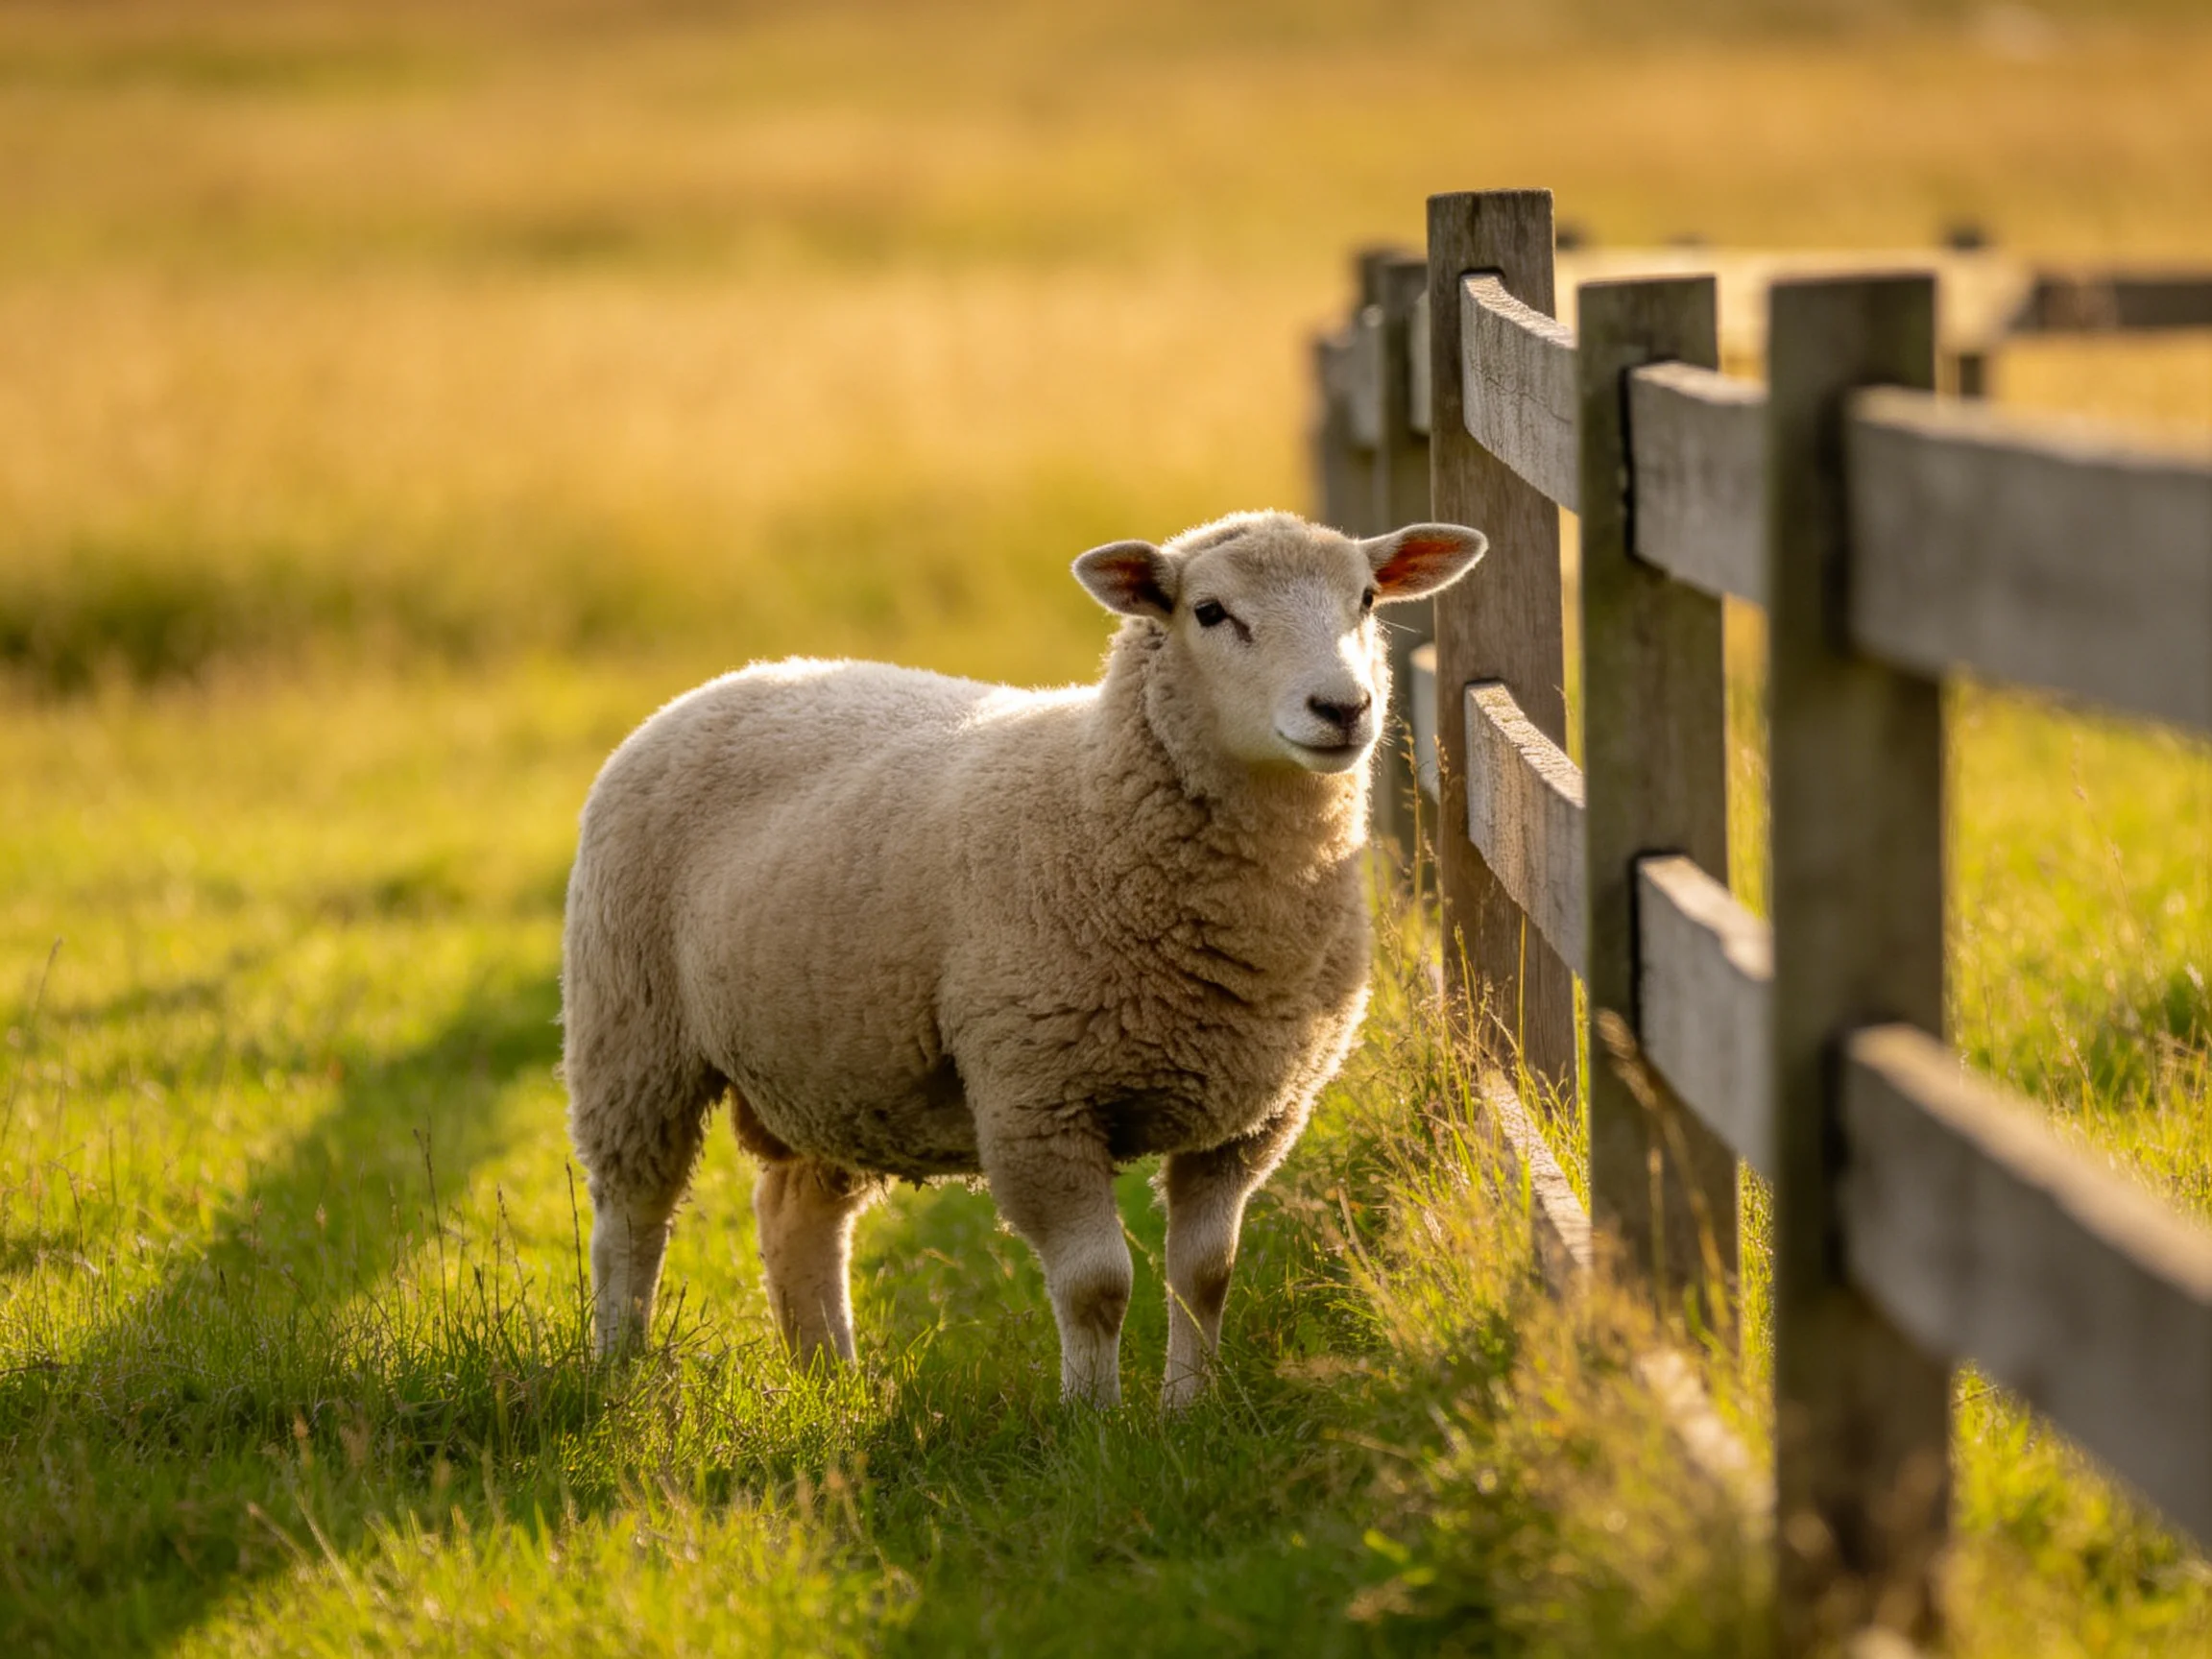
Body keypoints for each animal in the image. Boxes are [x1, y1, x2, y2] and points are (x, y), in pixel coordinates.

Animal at [561, 509, 1486, 1407]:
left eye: (1366, 599)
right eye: (1210, 612)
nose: (1343, 707)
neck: (1095, 800)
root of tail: (741, 676)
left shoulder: (1254, 1117)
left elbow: (1205, 1275)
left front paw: (1191, 1410)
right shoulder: (1036, 1100)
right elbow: (1096, 1285)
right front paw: (1095, 1423)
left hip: (837, 1062)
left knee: (797, 1212)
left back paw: (831, 1383)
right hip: (632, 1034)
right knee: (632, 1219)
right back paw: (620, 1370)